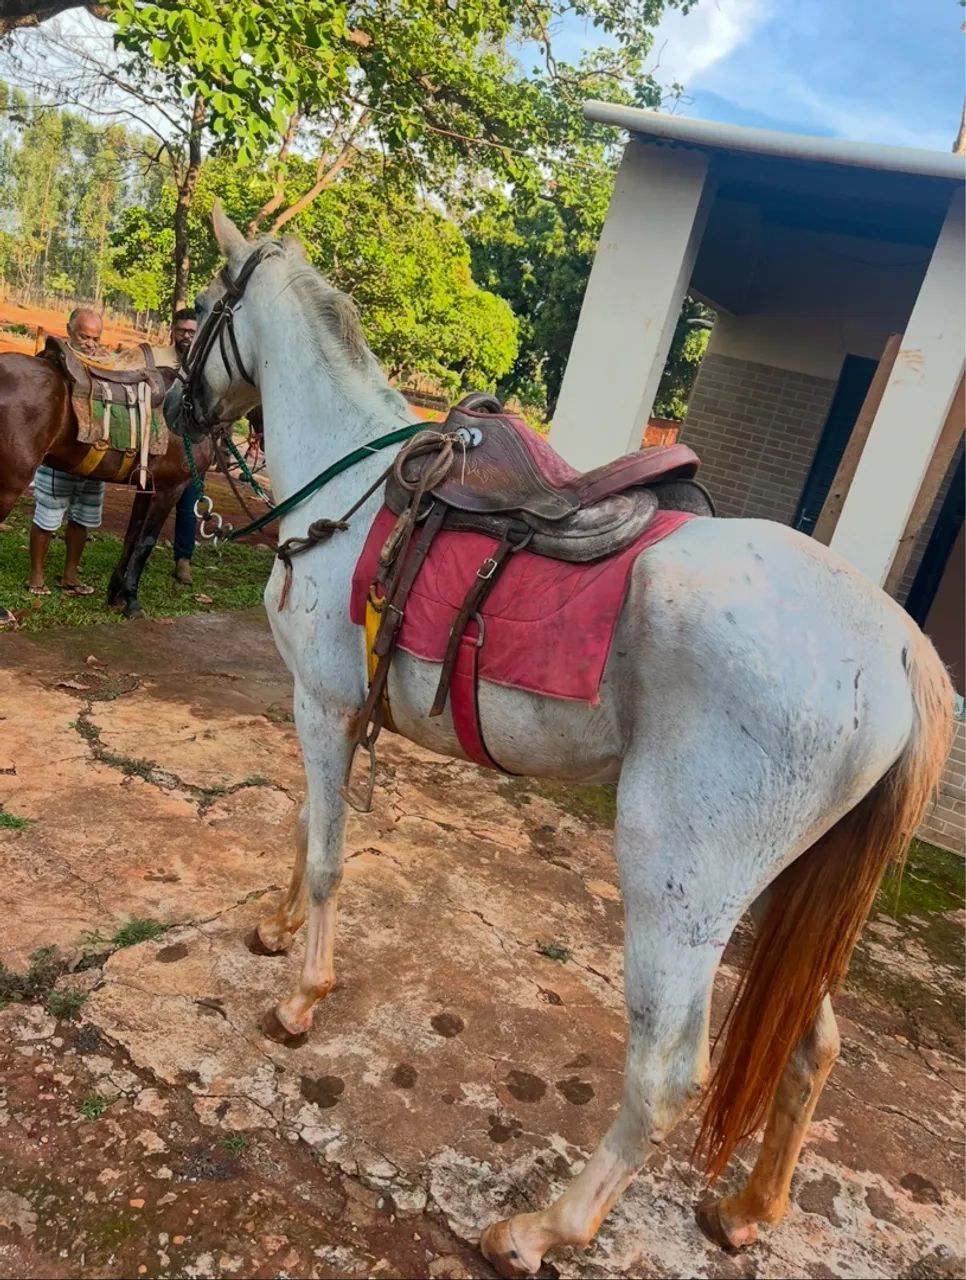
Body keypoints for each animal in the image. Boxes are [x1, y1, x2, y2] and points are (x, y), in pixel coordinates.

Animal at [0, 349, 212, 623]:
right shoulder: (170, 488)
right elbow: (146, 542)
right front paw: (132, 601)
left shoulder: (147, 486)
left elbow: (132, 538)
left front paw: (117, 594)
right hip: (11, 481)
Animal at [163, 203, 955, 1278]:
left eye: (203, 309)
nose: (174, 409)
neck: (353, 484)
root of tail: (896, 641)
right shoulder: (319, 708)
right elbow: (302, 827)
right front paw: (276, 929)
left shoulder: (321, 706)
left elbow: (326, 854)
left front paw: (301, 997)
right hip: (796, 890)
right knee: (812, 1042)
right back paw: (750, 1207)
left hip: (678, 883)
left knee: (666, 1075)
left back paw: (544, 1228)